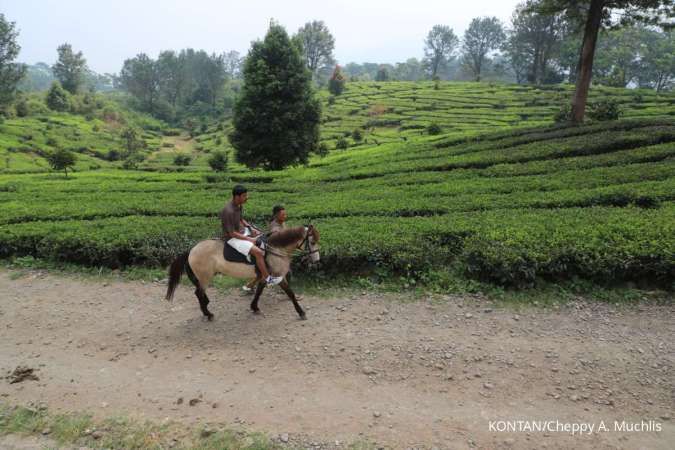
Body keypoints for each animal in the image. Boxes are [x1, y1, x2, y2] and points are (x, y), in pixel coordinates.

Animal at [165, 225, 320, 320]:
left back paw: (206, 305)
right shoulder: (278, 276)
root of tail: (191, 250)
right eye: (312, 242)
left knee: (200, 292)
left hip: (204, 277)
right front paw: (301, 312)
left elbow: (259, 291)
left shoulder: (264, 276)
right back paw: (208, 313)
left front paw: (254, 307)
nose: (317, 260)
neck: (275, 248)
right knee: (198, 292)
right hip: (205, 277)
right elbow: (290, 293)